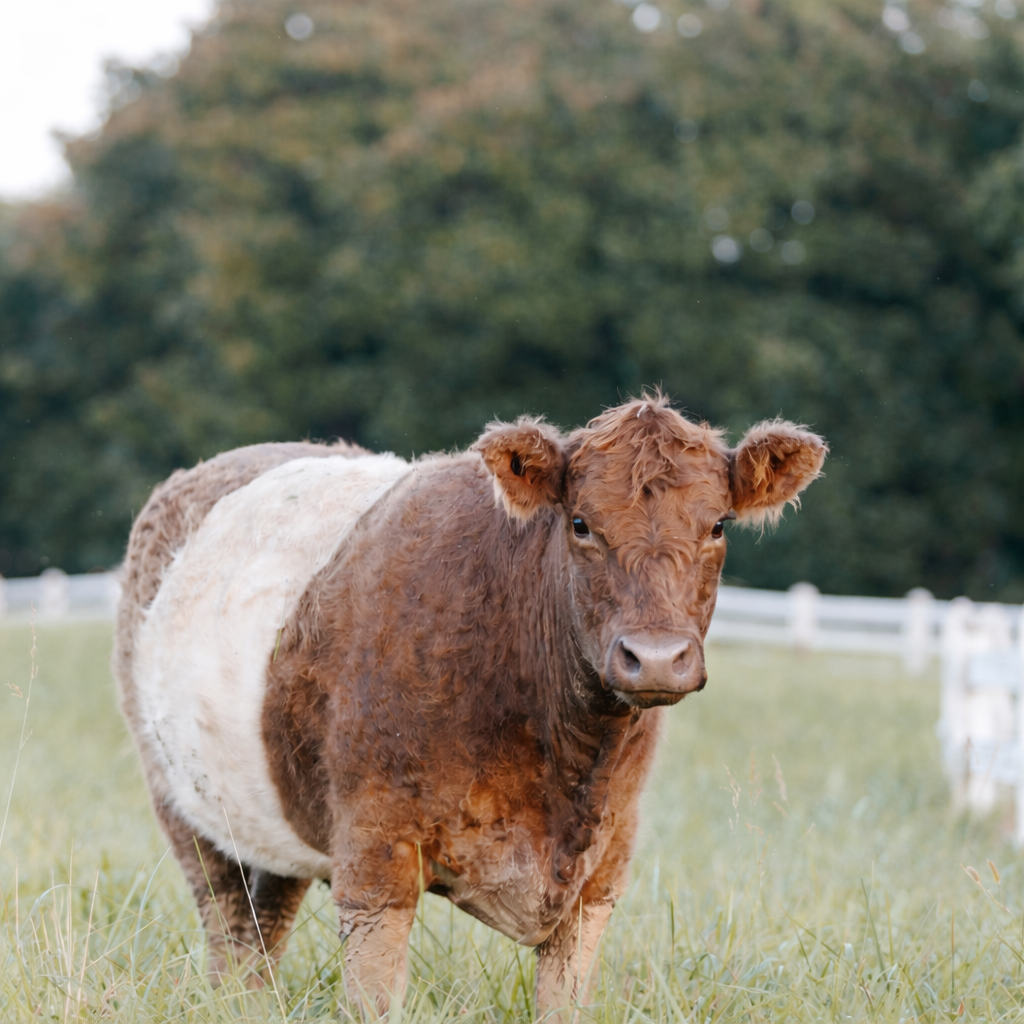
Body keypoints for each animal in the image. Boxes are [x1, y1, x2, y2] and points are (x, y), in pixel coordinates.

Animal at [114, 393, 826, 1019]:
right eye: (581, 523)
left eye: (718, 525)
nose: (654, 657)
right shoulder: (374, 860)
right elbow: (370, 1003)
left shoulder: (603, 871)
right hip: (182, 806)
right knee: (229, 925)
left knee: (265, 925)